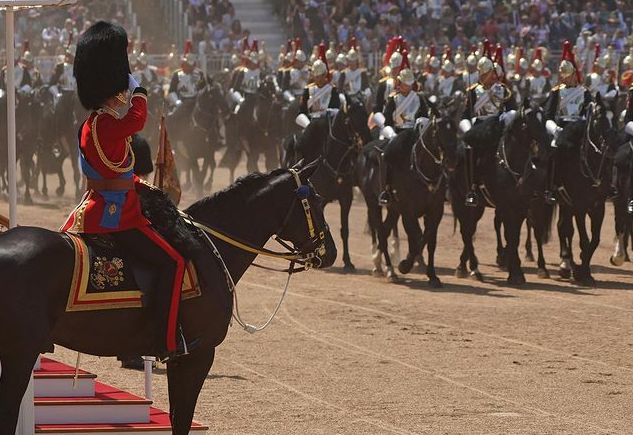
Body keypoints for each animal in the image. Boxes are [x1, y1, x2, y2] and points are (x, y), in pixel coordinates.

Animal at [0, 162, 336, 434]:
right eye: (317, 200)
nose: (331, 252)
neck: (210, 249)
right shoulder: (197, 354)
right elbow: (181, 419)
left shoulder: (183, 358)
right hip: (20, 352)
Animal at [282, 97, 370, 270]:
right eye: (352, 119)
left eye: (366, 115)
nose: (368, 140)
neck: (334, 163)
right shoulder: (319, 201)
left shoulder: (346, 199)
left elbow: (345, 230)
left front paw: (348, 261)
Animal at [358, 107, 456, 286]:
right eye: (438, 131)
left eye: (455, 128)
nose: (453, 159)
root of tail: (365, 150)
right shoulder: (408, 212)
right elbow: (417, 238)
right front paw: (405, 265)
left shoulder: (435, 211)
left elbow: (428, 240)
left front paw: (432, 275)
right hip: (373, 203)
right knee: (381, 233)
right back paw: (389, 270)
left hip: (393, 210)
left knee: (385, 230)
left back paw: (380, 264)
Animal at [450, 100, 548, 284]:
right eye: (527, 122)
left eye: (544, 119)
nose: (545, 148)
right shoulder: (506, 207)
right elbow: (509, 234)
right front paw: (514, 270)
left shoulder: (521, 207)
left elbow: (514, 237)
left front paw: (515, 271)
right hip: (461, 201)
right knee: (466, 232)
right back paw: (472, 269)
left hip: (478, 207)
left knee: (470, 230)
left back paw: (465, 265)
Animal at [552, 96, 616, 284]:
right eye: (599, 118)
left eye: (615, 118)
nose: (612, 147)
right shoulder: (579, 206)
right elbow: (584, 239)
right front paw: (582, 272)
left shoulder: (598, 207)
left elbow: (595, 240)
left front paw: (584, 268)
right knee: (565, 229)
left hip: (566, 204)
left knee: (563, 227)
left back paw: (568, 264)